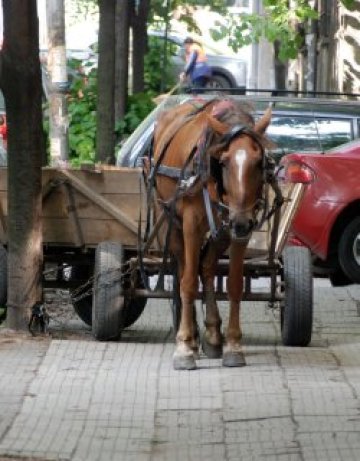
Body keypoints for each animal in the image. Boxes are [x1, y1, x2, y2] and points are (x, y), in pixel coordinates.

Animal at [149, 98, 272, 370]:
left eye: (259, 162)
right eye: (223, 162)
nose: (241, 221)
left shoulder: (237, 229)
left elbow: (234, 284)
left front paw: (233, 344)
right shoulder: (192, 224)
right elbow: (187, 284)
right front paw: (184, 347)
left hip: (221, 232)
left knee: (205, 267)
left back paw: (213, 334)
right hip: (171, 221)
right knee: (185, 269)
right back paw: (192, 337)